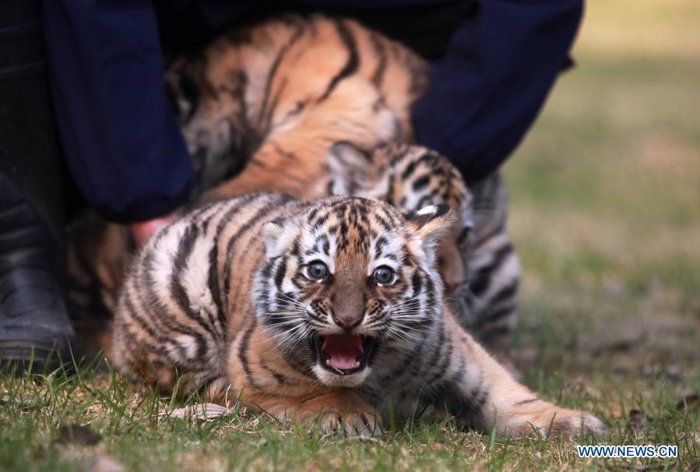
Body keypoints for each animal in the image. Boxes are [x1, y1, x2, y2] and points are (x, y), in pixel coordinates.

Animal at [113, 193, 605, 438]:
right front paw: (345, 415)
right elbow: (310, 390)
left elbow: (504, 391)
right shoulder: (254, 367)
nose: (348, 320)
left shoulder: (457, 350)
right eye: (318, 270)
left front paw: (572, 422)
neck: (380, 373)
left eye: (382, 275)